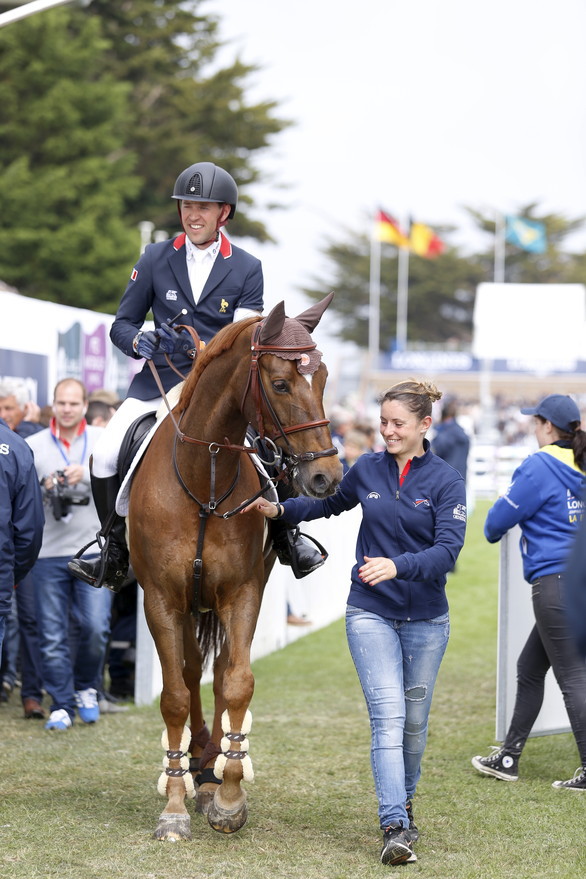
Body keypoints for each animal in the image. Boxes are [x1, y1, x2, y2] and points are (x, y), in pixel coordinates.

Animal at [125, 294, 340, 840]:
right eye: (280, 383)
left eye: (324, 378)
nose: (327, 476)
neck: (205, 477)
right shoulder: (161, 598)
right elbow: (175, 694)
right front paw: (174, 805)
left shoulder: (243, 592)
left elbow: (237, 681)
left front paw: (228, 794)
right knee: (189, 670)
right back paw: (195, 762)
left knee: (220, 671)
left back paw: (211, 767)